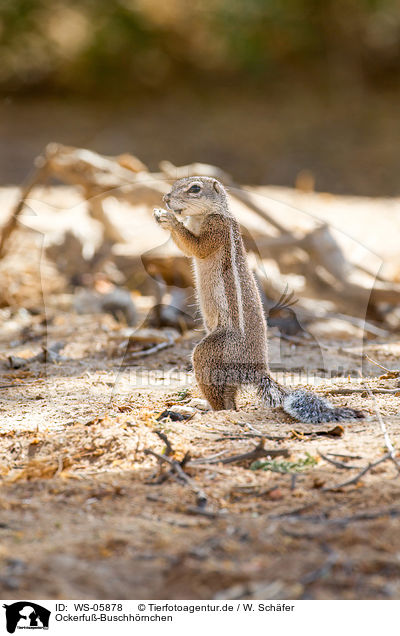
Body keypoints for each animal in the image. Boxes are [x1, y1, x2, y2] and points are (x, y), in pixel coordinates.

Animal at [153, 176, 362, 422]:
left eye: (194, 188)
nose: (166, 198)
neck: (204, 215)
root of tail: (258, 371)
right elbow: (187, 250)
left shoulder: (217, 228)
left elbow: (197, 247)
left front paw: (170, 220)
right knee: (230, 400)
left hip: (211, 352)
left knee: (223, 400)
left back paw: (203, 411)